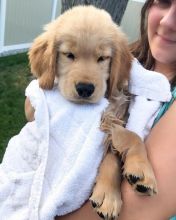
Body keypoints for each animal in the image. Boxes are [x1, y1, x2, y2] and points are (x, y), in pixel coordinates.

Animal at [27, 5, 158, 220]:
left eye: (102, 58)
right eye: (69, 55)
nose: (85, 89)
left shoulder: (114, 115)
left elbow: (128, 139)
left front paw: (138, 170)